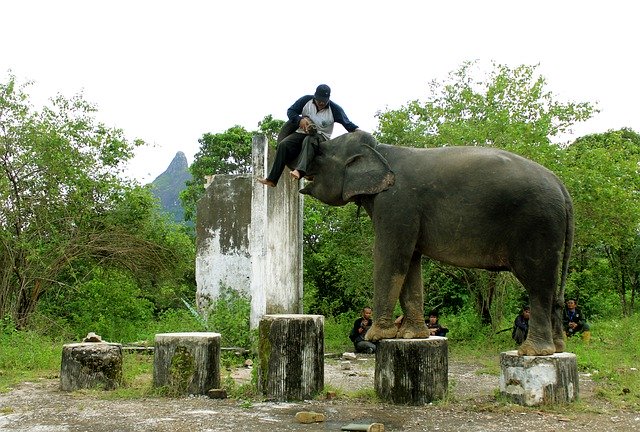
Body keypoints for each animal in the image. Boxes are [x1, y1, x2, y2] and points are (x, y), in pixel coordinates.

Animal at [300, 130, 576, 356]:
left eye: (321, 152)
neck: (381, 149)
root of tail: (562, 188)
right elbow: (410, 261)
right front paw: (411, 337)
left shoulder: (396, 204)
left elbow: (392, 257)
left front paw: (378, 336)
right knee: (551, 288)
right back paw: (558, 348)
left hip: (537, 225)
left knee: (538, 283)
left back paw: (534, 352)